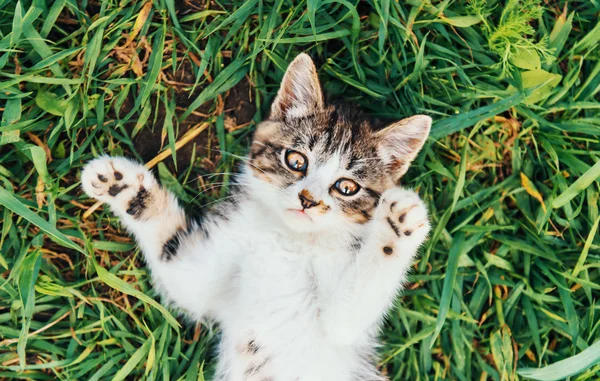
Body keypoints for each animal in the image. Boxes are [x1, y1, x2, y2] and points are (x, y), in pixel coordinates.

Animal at [83, 53, 432, 380]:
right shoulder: (206, 275)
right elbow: (177, 261)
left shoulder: (342, 327)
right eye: (296, 160)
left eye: (346, 187)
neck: (289, 239)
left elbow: (348, 314)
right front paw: (122, 185)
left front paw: (396, 227)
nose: (308, 200)